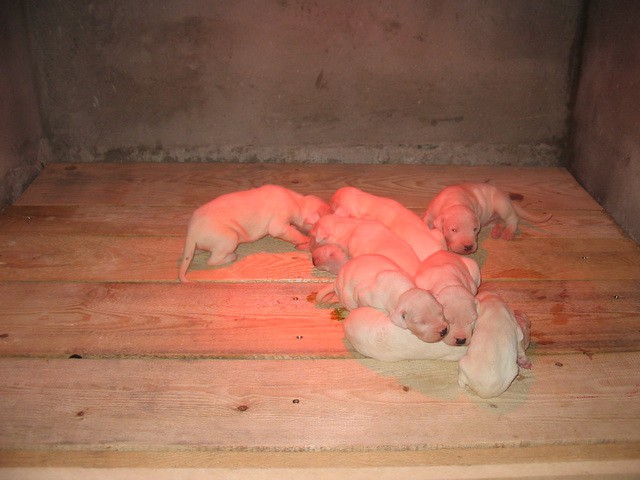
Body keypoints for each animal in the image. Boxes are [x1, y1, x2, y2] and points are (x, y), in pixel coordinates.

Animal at [180, 184, 330, 282]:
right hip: (229, 239)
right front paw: (305, 239)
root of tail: (191, 233)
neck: (298, 202)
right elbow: (289, 232)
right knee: (212, 260)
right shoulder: (279, 224)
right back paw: (232, 257)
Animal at [316, 253, 448, 344]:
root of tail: (336, 281)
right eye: (421, 322)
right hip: (346, 296)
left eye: (441, 311)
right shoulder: (364, 295)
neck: (403, 292)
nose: (444, 331)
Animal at [422, 181, 552, 255]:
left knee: (513, 219)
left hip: (502, 205)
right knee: (501, 222)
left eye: (475, 229)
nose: (468, 247)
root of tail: (508, 199)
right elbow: (425, 221)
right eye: (453, 230)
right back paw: (497, 231)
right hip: (493, 218)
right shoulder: (431, 212)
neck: (455, 202)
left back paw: (508, 232)